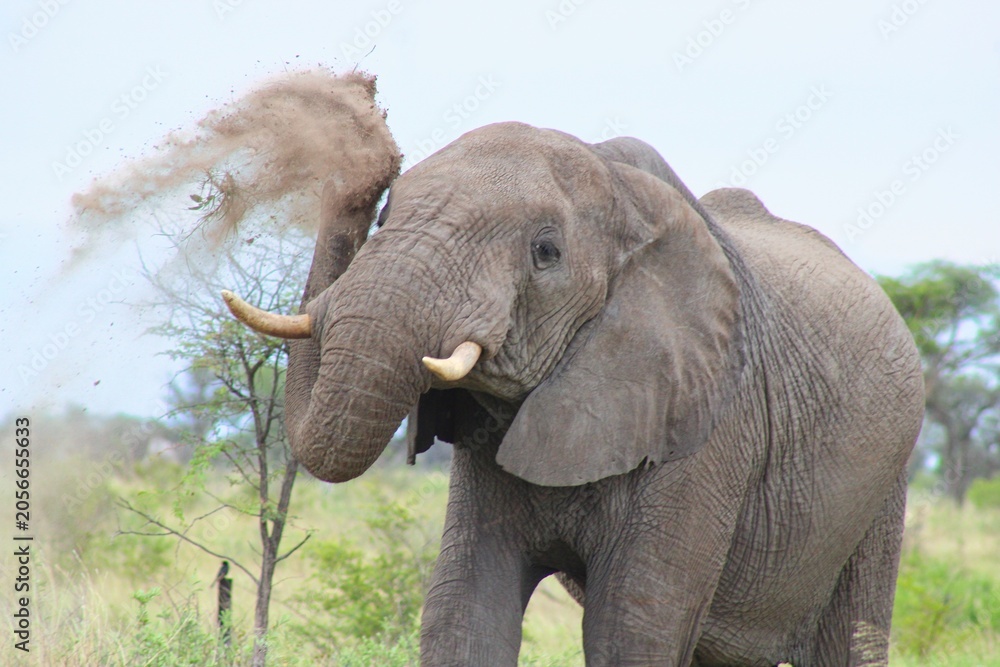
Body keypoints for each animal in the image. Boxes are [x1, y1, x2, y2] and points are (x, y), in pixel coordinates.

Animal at [223, 122, 924, 666]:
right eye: (388, 215)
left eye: (546, 251)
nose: (372, 147)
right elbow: (463, 609)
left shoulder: (708, 422)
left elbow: (633, 624)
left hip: (884, 477)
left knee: (849, 636)